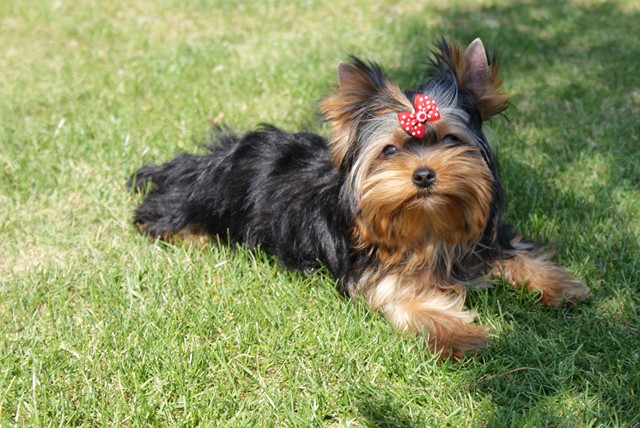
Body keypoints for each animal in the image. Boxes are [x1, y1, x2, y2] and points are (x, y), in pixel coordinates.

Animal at [127, 38, 589, 360]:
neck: (427, 223)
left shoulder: (484, 236)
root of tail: (205, 160)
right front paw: (462, 335)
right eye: (391, 149)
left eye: (450, 139)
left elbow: (516, 251)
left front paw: (562, 285)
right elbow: (409, 301)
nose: (424, 175)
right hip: (194, 204)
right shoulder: (373, 272)